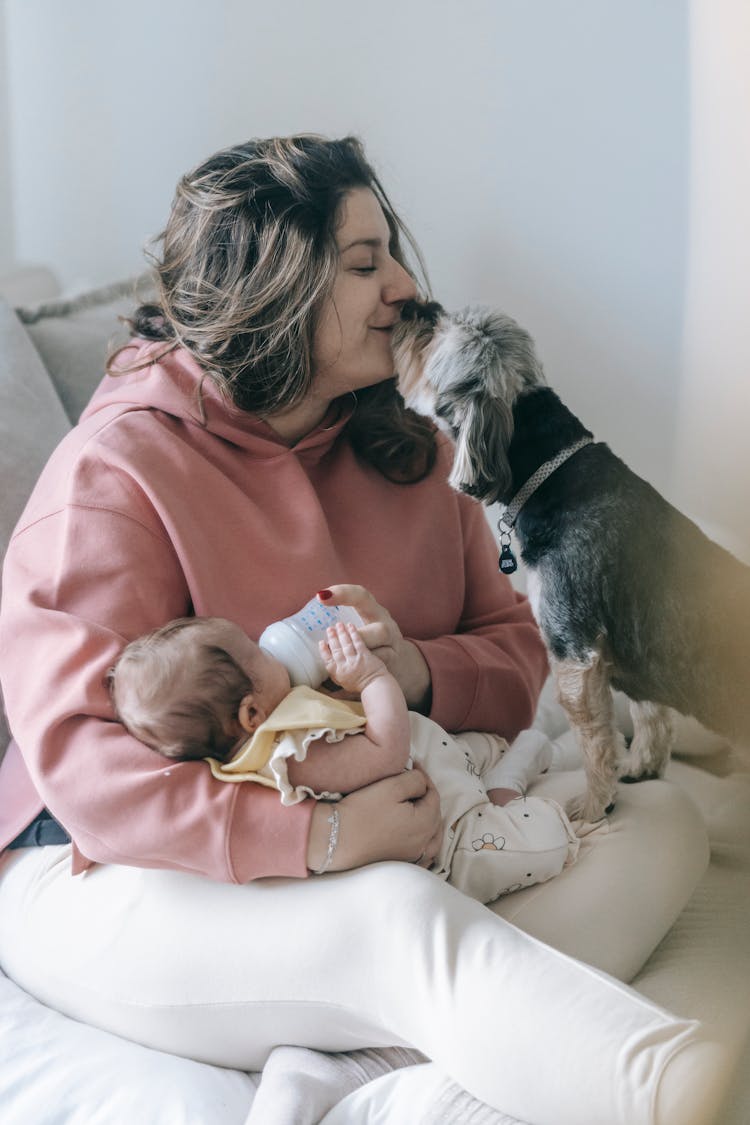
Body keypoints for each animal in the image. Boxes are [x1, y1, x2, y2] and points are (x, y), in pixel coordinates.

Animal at [393, 303, 750, 823]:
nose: (414, 307)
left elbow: (596, 743)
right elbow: (650, 715)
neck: (555, 476)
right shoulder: (626, 650)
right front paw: (643, 767)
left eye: (433, 332)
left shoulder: (573, 651)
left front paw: (595, 804)